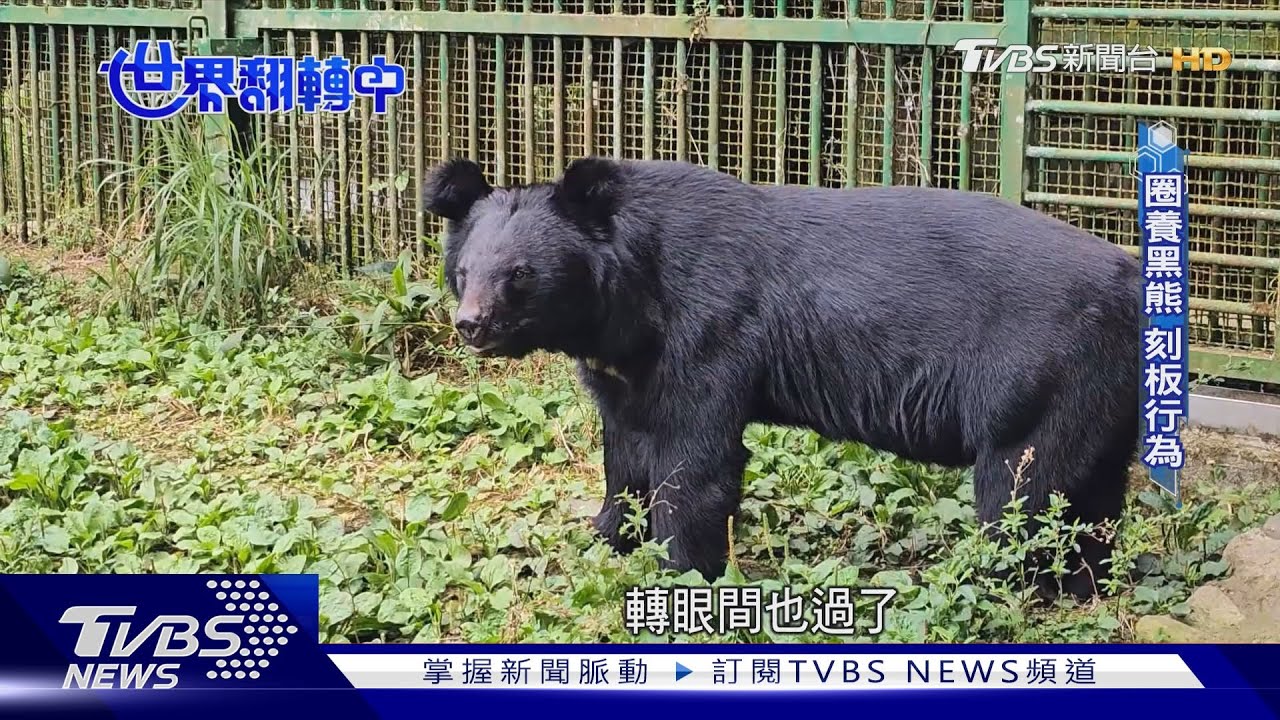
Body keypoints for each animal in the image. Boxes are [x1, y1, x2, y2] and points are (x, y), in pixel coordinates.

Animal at [422, 155, 1143, 599]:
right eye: (465, 271)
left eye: (520, 275)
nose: (471, 325)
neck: (625, 302)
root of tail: (1133, 281)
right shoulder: (626, 367)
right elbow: (623, 451)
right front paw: (604, 539)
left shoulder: (705, 331)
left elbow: (695, 458)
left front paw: (679, 574)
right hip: (1101, 394)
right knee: (1092, 495)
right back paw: (1087, 582)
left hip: (1038, 375)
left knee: (1024, 489)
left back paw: (1002, 584)